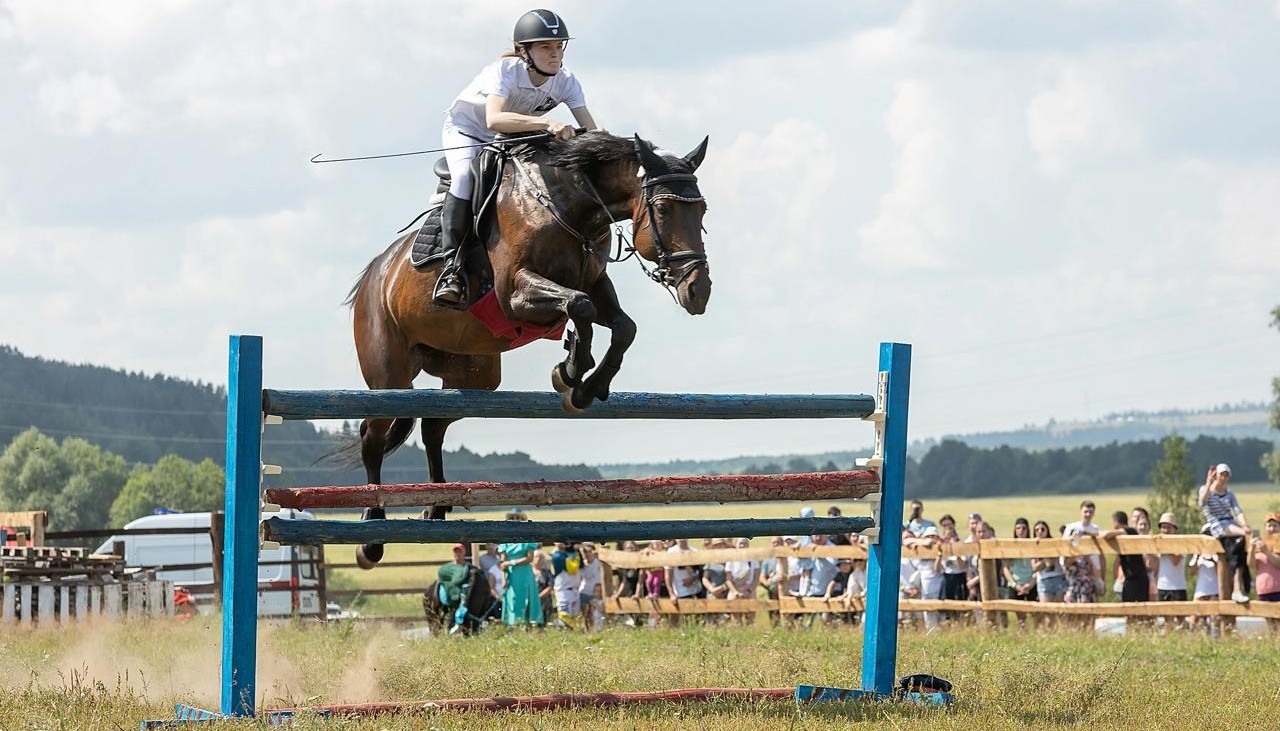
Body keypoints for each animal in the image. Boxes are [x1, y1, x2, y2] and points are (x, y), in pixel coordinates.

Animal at [335, 131, 711, 568]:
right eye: (664, 209)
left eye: (702, 210)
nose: (698, 291)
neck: (571, 206)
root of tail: (373, 274)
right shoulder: (515, 293)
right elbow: (579, 306)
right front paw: (571, 371)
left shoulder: (595, 284)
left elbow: (621, 326)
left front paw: (586, 386)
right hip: (389, 374)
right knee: (372, 434)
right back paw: (371, 529)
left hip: (473, 375)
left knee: (432, 425)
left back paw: (438, 504)